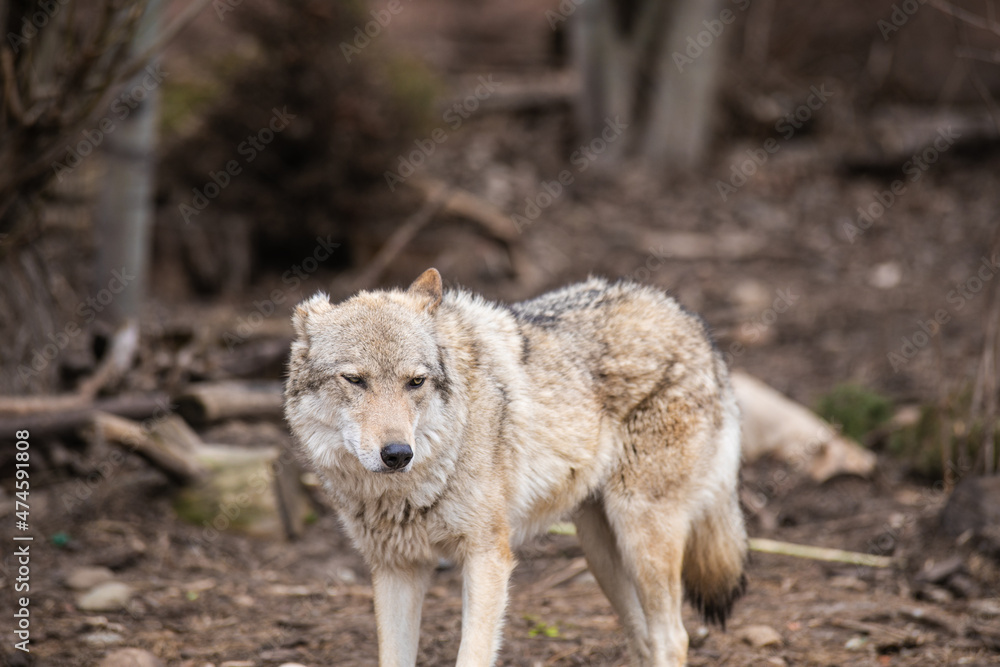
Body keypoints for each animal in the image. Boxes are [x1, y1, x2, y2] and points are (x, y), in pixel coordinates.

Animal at [284, 268, 747, 667]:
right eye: (354, 380)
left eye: (415, 382)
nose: (397, 453)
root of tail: (691, 320)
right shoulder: (396, 570)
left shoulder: (488, 558)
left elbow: (472, 656)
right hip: (600, 550)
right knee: (644, 638)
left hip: (641, 535)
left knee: (674, 637)